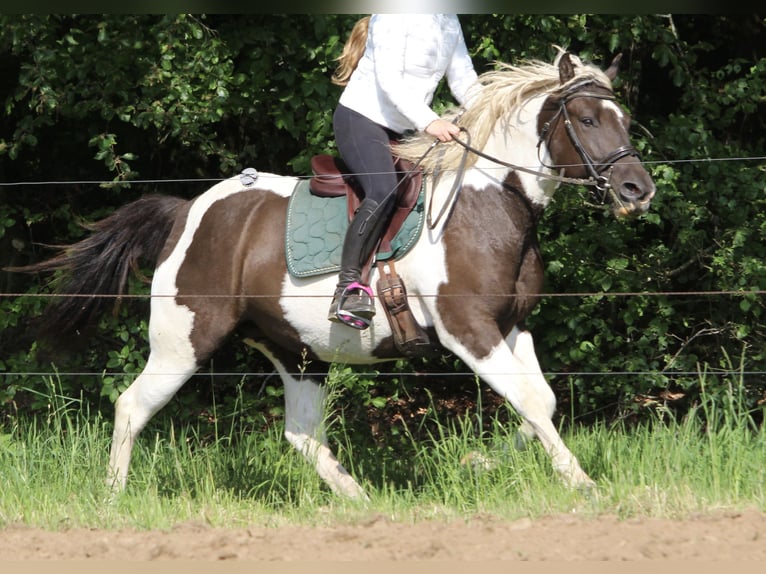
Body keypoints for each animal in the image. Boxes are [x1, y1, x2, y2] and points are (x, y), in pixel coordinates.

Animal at [9, 50, 656, 500]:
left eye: (623, 118)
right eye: (587, 118)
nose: (638, 190)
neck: (487, 203)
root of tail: (187, 211)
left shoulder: (511, 325)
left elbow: (539, 402)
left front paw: (481, 462)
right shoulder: (467, 329)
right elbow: (527, 400)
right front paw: (582, 484)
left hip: (296, 351)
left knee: (300, 435)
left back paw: (360, 499)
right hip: (183, 341)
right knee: (131, 406)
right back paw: (113, 496)